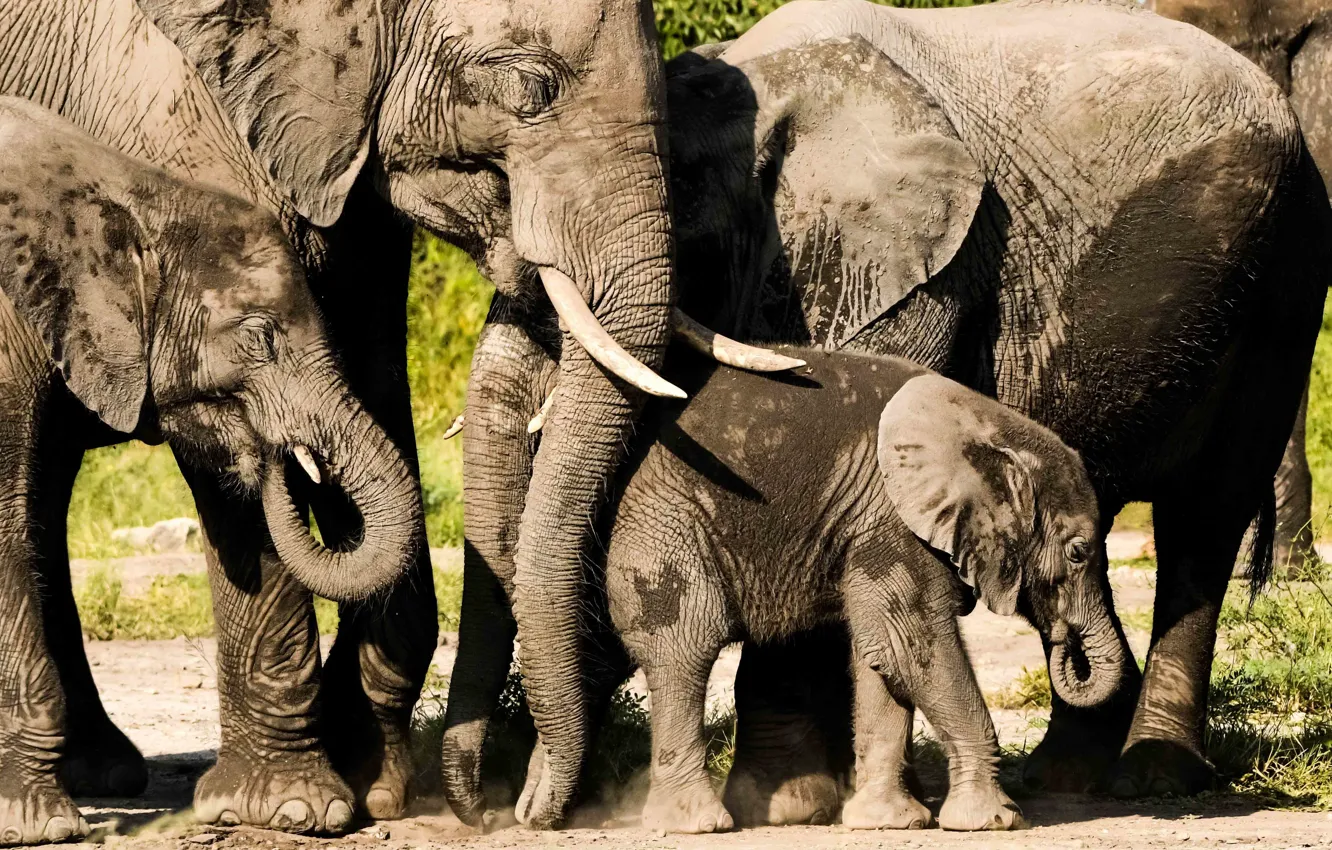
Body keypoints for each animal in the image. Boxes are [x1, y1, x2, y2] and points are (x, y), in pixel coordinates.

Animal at [603, 345, 1129, 834]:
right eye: (1078, 552)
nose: (1063, 641)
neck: (987, 426)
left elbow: (882, 654)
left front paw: (889, 822)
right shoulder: (889, 522)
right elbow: (911, 645)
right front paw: (993, 821)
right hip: (667, 521)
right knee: (682, 649)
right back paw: (694, 824)